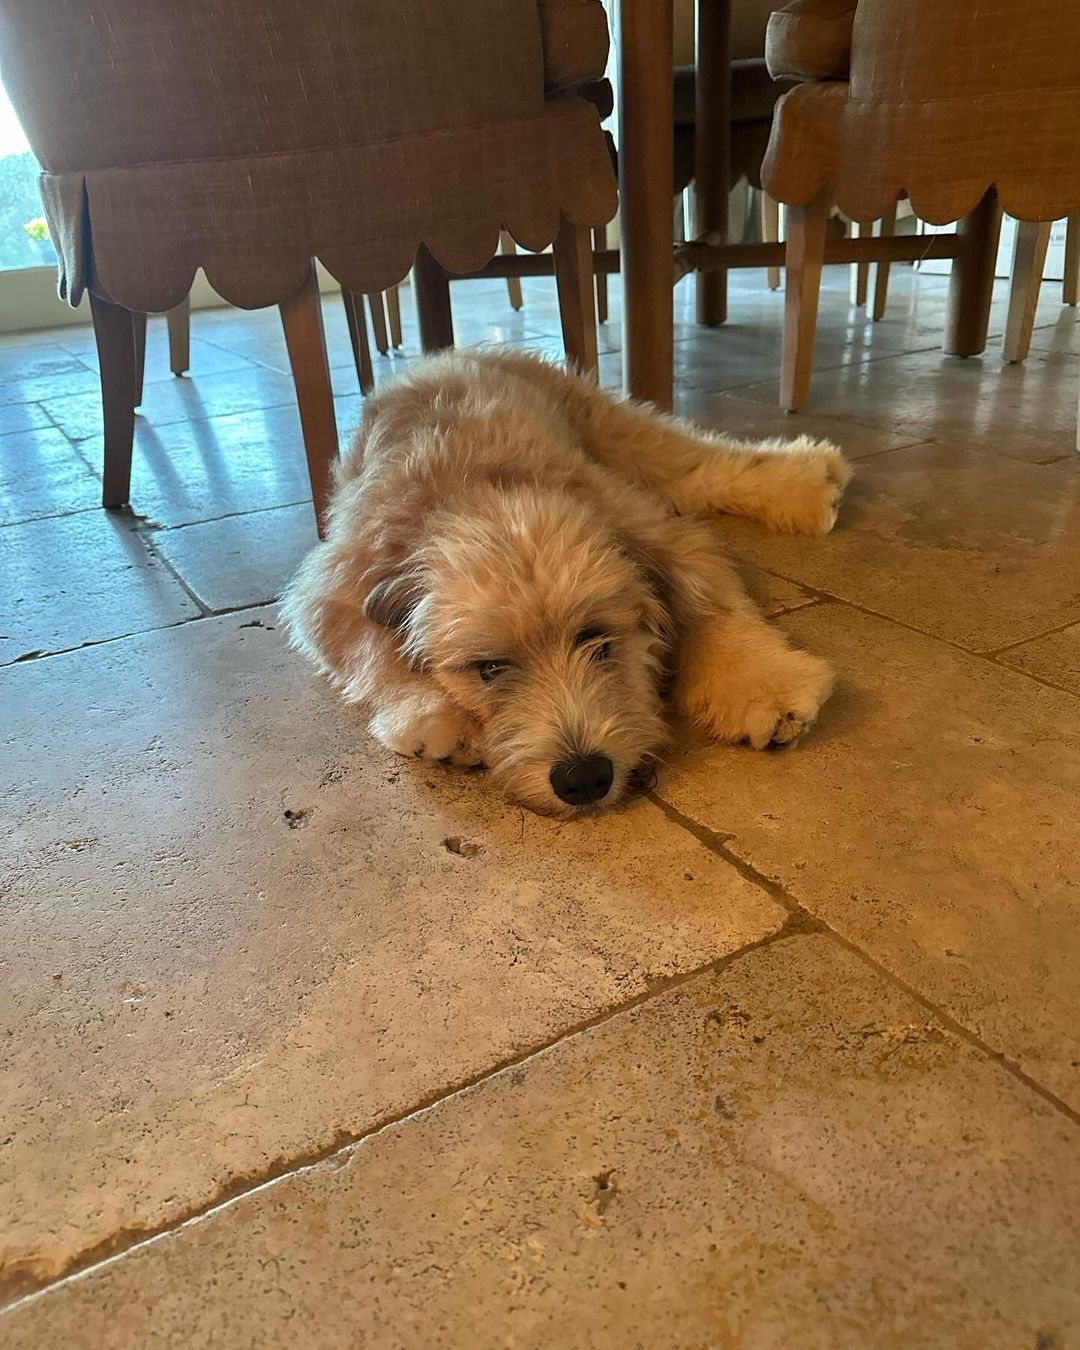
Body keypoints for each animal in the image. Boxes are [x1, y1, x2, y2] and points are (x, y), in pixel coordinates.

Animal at [281, 349, 851, 818]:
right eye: (489, 669)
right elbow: (367, 650)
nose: (584, 778)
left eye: (597, 640)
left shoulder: (664, 535)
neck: (486, 494)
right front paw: (432, 714)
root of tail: (441, 354)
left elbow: (711, 606)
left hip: (613, 432)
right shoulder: (332, 586)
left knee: (703, 465)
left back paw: (806, 478)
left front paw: (763, 682)